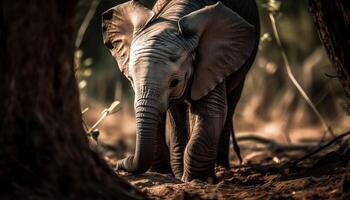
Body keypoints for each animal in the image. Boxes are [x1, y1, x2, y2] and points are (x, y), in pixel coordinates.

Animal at [102, 0, 260, 182]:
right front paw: (168, 174)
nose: (118, 164)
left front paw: (197, 180)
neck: (172, 18)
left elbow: (211, 110)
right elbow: (167, 114)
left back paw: (221, 168)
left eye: (174, 82)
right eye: (131, 79)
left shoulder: (213, 60)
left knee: (231, 102)